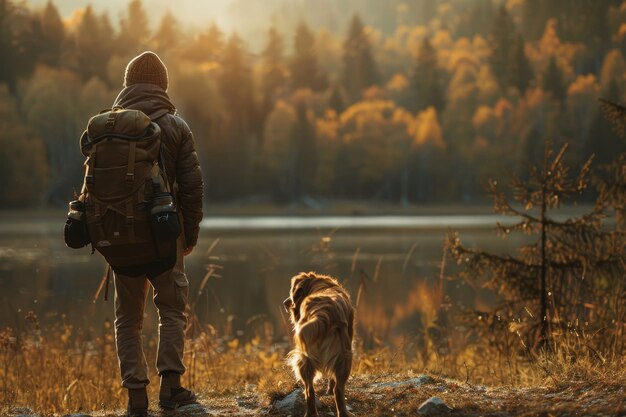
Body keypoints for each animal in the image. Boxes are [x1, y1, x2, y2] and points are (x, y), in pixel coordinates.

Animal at [282, 272, 352, 416]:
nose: (285, 303)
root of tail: (323, 313)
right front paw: (329, 390)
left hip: (307, 360)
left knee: (310, 390)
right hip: (344, 357)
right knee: (337, 390)